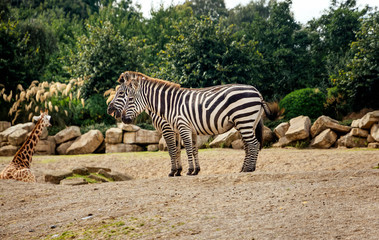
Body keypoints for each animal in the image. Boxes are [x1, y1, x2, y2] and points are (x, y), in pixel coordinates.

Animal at [114, 71, 278, 174]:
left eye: (128, 97)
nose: (123, 119)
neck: (170, 104)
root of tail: (257, 92)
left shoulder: (181, 126)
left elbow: (184, 149)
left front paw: (187, 171)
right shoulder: (188, 129)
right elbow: (191, 149)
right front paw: (193, 170)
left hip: (244, 120)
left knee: (253, 144)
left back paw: (248, 169)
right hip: (247, 122)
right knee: (249, 145)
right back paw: (246, 168)